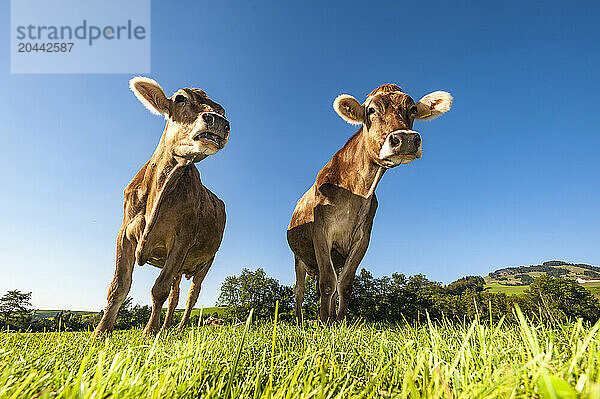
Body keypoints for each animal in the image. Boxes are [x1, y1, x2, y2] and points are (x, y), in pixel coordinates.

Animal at [95, 77, 231, 338]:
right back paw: (167, 325)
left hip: (205, 262)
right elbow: (118, 287)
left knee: (190, 295)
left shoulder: (182, 240)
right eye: (180, 98)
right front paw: (100, 332)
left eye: (222, 111)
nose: (218, 121)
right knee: (175, 294)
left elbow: (159, 289)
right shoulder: (124, 233)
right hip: (181, 266)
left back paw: (177, 327)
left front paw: (150, 331)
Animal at [288, 83, 452, 324]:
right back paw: (300, 320)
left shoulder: (363, 238)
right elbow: (327, 284)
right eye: (371, 110)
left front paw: (340, 321)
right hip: (298, 257)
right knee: (299, 290)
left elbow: (344, 285)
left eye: (412, 109)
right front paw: (325, 323)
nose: (405, 139)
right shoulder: (321, 232)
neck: (356, 192)